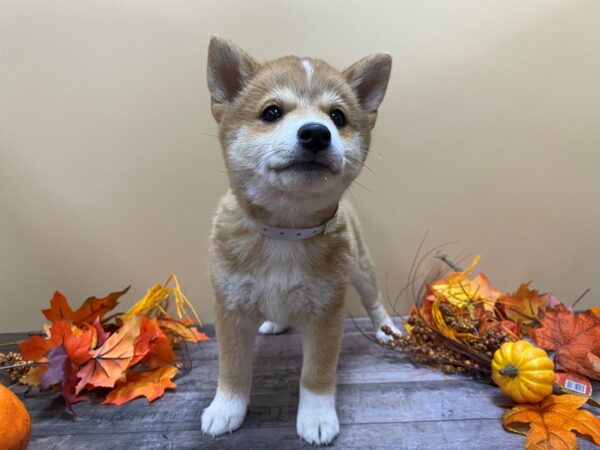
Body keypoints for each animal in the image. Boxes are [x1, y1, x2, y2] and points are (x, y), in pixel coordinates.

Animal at [202, 37, 398, 444]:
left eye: (337, 116)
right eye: (272, 112)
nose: (316, 133)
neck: (285, 234)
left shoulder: (326, 312)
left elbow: (316, 374)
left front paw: (317, 416)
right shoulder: (230, 308)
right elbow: (232, 368)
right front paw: (226, 408)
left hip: (361, 270)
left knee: (374, 301)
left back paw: (386, 329)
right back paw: (274, 324)